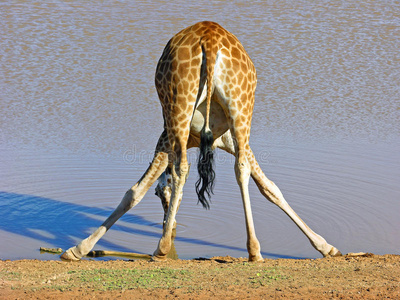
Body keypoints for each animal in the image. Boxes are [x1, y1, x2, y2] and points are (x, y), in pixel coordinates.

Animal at [61, 21, 340, 262]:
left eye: (161, 197)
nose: (171, 226)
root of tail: (210, 39)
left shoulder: (167, 137)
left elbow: (135, 190)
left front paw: (78, 249)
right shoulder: (229, 140)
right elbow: (269, 187)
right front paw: (326, 246)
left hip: (179, 108)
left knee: (182, 168)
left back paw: (161, 248)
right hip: (241, 112)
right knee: (240, 168)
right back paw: (253, 251)